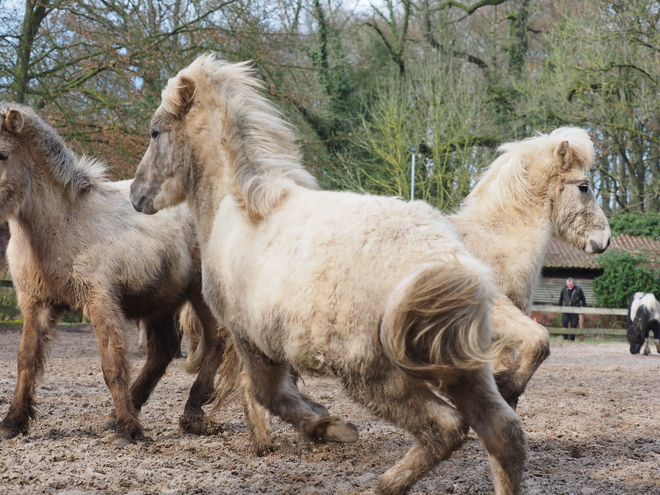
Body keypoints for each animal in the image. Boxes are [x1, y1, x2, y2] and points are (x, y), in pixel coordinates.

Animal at [0, 102, 232, 448]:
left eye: (2, 155)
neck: (63, 223)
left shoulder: (101, 301)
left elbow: (112, 363)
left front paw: (128, 430)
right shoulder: (35, 303)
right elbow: (26, 360)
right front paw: (12, 422)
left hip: (200, 292)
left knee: (216, 338)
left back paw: (192, 410)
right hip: (160, 300)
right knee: (163, 350)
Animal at [131, 55, 528, 495]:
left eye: (155, 131)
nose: (136, 194)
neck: (240, 210)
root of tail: (447, 260)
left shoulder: (249, 337)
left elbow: (270, 394)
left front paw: (331, 427)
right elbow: (271, 394)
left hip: (373, 375)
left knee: (446, 427)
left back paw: (385, 483)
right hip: (465, 369)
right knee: (503, 431)